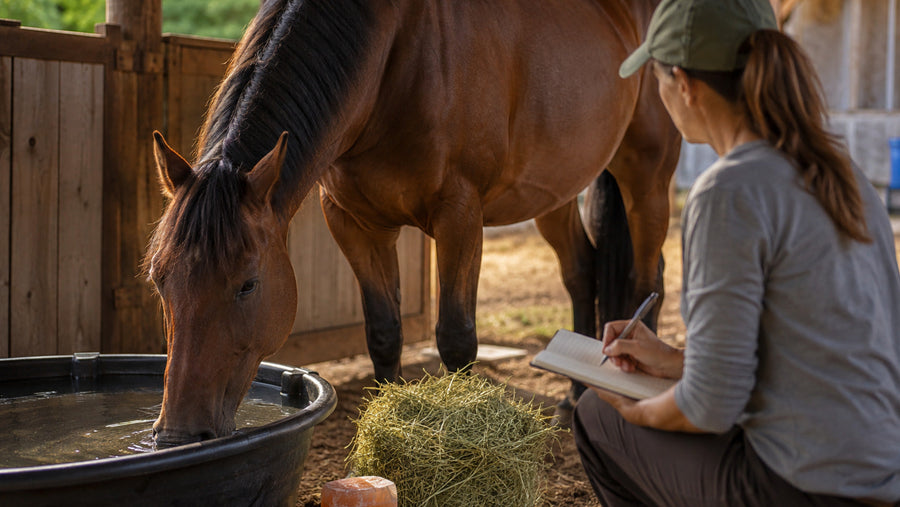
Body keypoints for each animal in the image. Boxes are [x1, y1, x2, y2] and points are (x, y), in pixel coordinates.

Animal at [146, 0, 680, 445]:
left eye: (248, 284)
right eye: (159, 279)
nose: (178, 434)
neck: (397, 55)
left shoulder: (460, 216)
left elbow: (457, 338)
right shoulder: (354, 223)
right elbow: (384, 333)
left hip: (647, 176)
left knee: (645, 278)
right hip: (553, 190)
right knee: (582, 272)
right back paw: (574, 396)